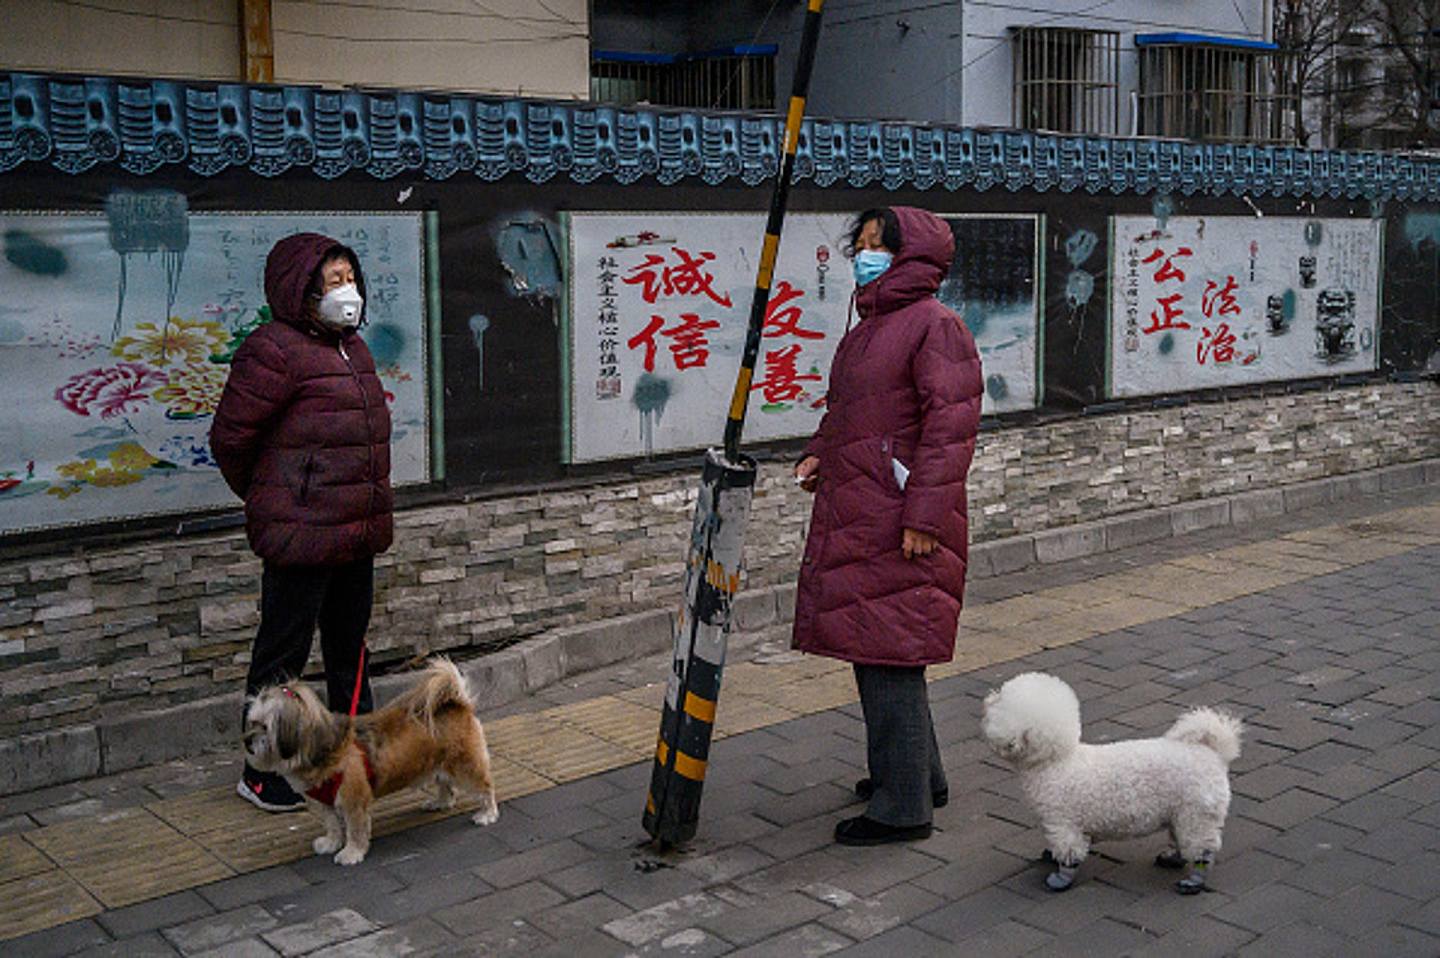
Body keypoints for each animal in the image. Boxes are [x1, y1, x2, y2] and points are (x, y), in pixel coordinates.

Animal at [244, 654, 498, 864]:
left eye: (265, 727)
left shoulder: (353, 801)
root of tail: (457, 702)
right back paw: (440, 802)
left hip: (465, 767)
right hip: (436, 764)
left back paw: (487, 814)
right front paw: (331, 842)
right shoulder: (323, 803)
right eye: (252, 722)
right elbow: (332, 824)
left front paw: (351, 853)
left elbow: (355, 830)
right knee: (446, 787)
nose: (247, 741)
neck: (324, 750)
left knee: (485, 788)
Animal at [984, 668, 1244, 893]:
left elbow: (1070, 853)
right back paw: (1172, 859)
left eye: (1001, 702)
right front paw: (1050, 856)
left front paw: (1061, 878)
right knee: (1181, 838)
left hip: (1198, 814)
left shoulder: (1063, 822)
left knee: (1201, 849)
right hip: (1181, 814)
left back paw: (1194, 881)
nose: (989, 697)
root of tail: (1213, 753)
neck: (1054, 761)